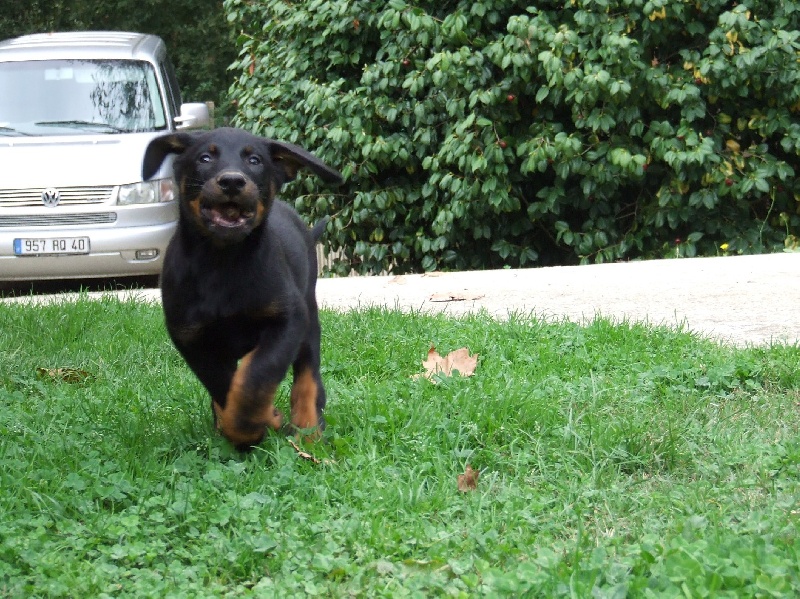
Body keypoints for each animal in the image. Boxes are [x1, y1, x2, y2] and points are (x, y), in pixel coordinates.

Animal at [142, 126, 342, 450]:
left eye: (255, 160)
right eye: (205, 157)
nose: (232, 181)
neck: (222, 261)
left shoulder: (289, 318)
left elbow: (257, 375)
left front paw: (251, 422)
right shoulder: (189, 335)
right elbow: (222, 383)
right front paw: (251, 424)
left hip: (309, 317)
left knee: (308, 376)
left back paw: (308, 429)